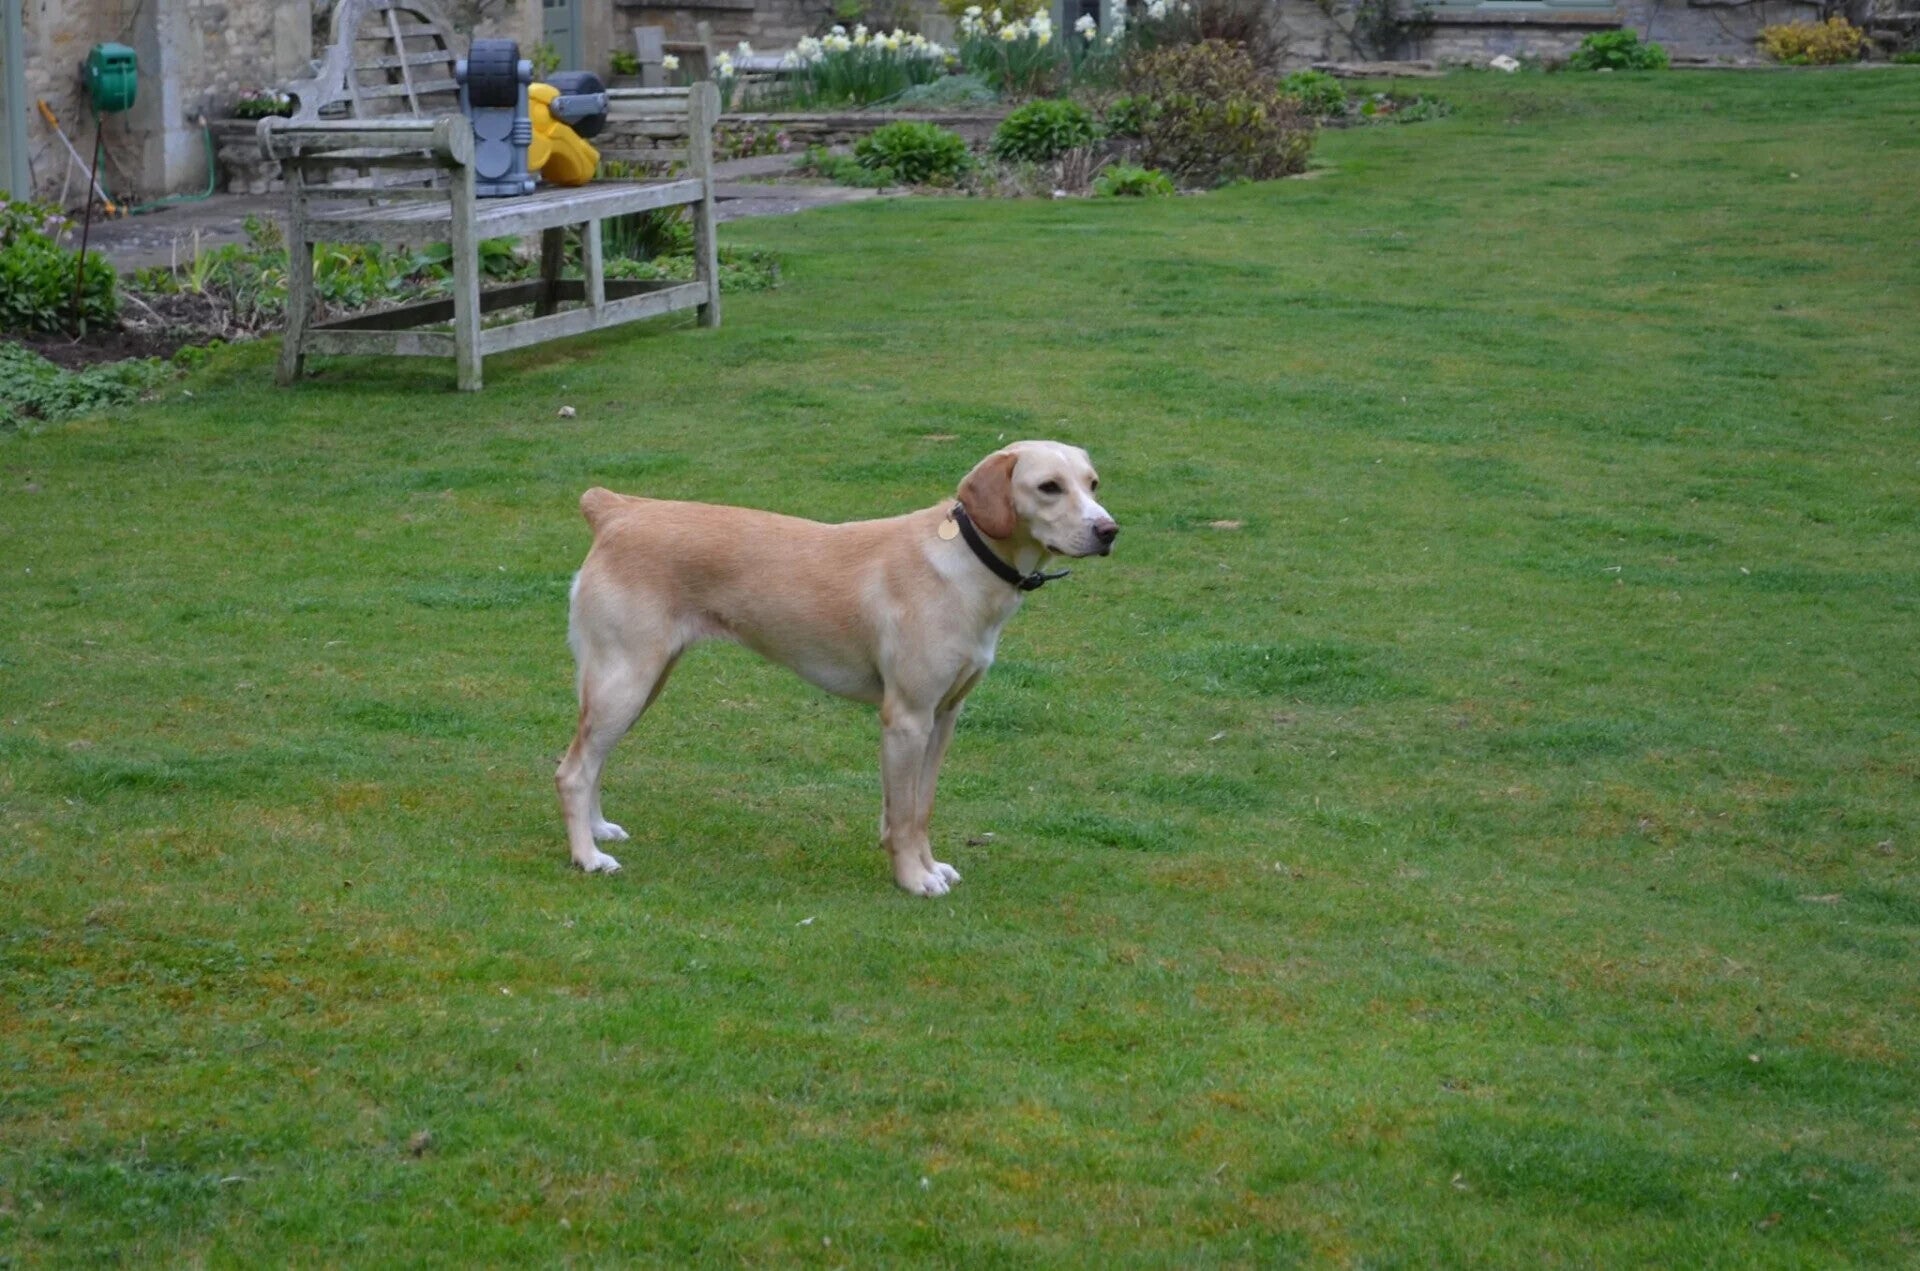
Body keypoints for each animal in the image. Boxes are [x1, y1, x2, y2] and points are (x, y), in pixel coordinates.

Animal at [555, 440, 1118, 896]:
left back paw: (599, 831)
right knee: (572, 771)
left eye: (1092, 484)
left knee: (593, 760)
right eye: (1049, 487)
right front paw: (914, 880)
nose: (1109, 530)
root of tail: (615, 510)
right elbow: (904, 816)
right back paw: (588, 857)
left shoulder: (944, 717)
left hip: (636, 683)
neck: (966, 561)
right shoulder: (906, 718)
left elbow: (921, 808)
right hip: (625, 681)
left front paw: (931, 866)